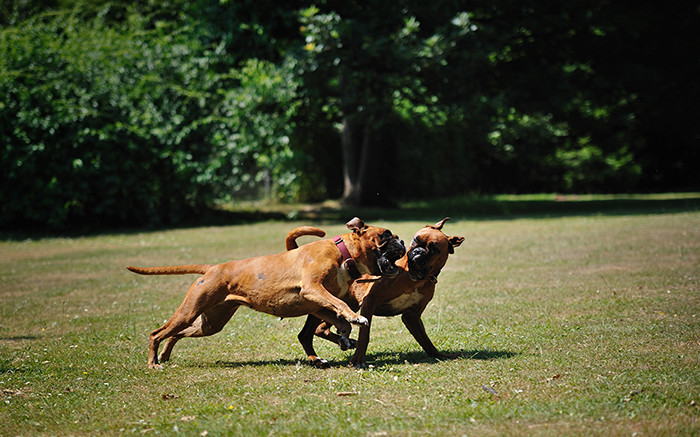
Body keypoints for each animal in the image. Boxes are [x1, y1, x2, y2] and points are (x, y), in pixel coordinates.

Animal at [126, 216, 404, 366]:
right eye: (386, 234)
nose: (401, 239)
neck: (343, 254)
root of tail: (213, 268)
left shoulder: (317, 303)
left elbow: (336, 318)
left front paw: (346, 334)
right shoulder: (313, 290)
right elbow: (342, 309)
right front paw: (355, 320)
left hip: (209, 323)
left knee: (175, 333)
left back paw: (164, 355)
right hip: (190, 311)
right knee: (157, 332)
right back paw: (153, 363)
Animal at [288, 217, 464, 364]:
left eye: (434, 249)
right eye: (415, 240)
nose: (418, 251)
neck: (414, 278)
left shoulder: (411, 316)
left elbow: (425, 340)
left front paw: (438, 355)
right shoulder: (369, 302)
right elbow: (364, 334)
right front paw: (358, 359)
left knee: (320, 329)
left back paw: (344, 343)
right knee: (312, 332)